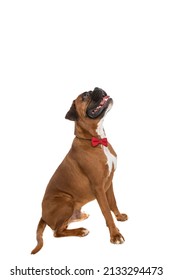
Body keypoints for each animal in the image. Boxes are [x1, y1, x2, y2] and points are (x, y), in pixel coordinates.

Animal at [31, 87, 127, 254]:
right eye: (85, 96)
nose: (97, 88)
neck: (96, 139)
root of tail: (43, 216)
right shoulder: (98, 187)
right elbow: (106, 212)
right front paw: (115, 235)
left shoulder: (109, 182)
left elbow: (113, 203)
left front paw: (119, 216)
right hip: (66, 201)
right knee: (57, 232)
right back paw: (81, 231)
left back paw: (80, 216)